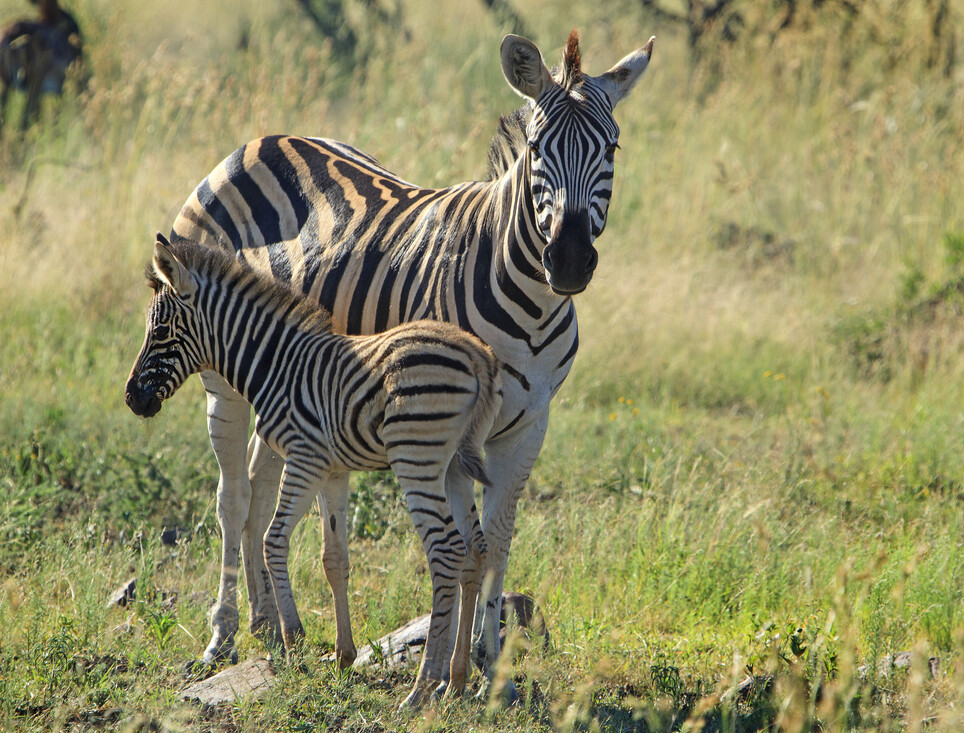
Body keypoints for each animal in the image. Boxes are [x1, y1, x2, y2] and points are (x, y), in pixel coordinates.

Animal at [126, 234, 504, 704]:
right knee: (475, 550)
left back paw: (421, 688)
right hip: (454, 466)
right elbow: (334, 557)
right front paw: (343, 654)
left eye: (159, 332)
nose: (131, 399)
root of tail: (477, 356)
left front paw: (294, 641)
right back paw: (455, 679)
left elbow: (273, 539)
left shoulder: (303, 455)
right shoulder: (333, 470)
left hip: (415, 457)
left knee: (446, 550)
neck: (275, 363)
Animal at [173, 28, 656, 692]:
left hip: (282, 378)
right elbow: (461, 545)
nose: (569, 261)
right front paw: (449, 671)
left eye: (611, 147)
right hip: (221, 377)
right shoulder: (447, 427)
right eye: (537, 148)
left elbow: (496, 543)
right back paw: (222, 635)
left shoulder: (529, 424)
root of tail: (259, 141)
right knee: (232, 497)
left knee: (260, 483)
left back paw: (268, 625)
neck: (531, 305)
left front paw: (489, 668)